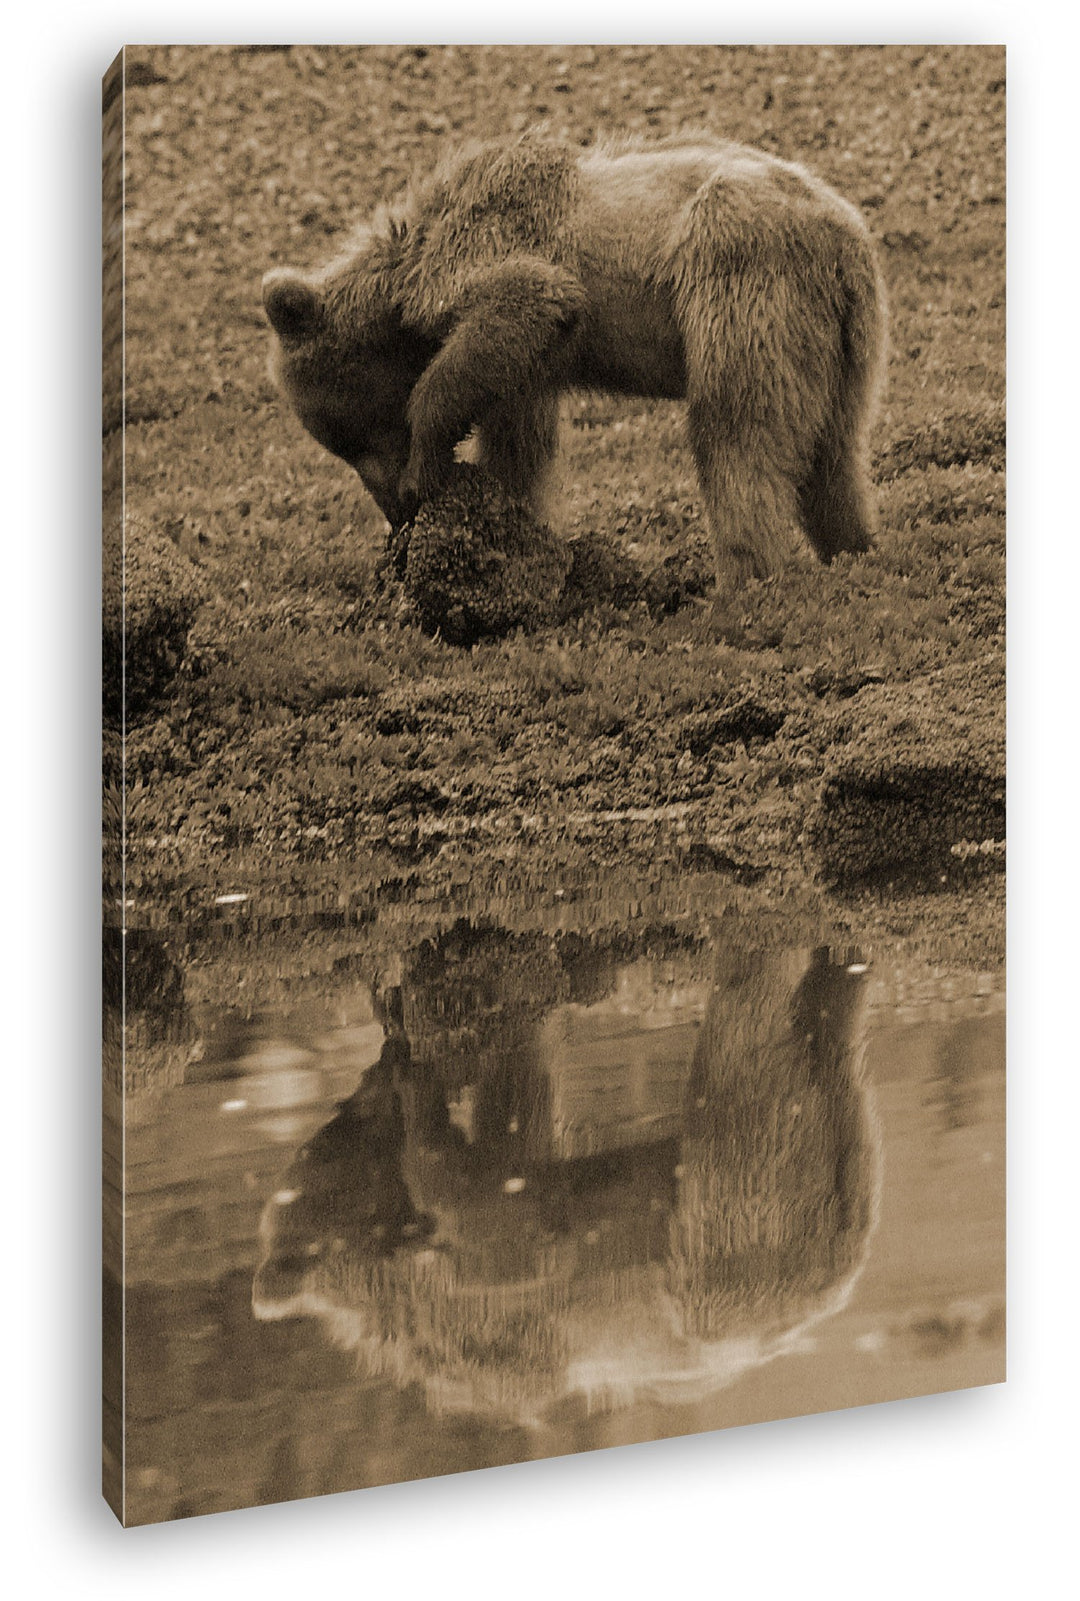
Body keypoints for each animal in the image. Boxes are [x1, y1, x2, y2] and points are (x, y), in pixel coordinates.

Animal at [263, 134, 886, 591]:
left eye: (358, 437)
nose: (395, 510)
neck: (403, 276)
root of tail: (844, 236)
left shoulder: (487, 247)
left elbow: (533, 294)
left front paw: (428, 468)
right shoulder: (531, 366)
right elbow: (519, 442)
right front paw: (514, 535)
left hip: (742, 277)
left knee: (736, 433)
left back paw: (741, 579)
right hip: (844, 341)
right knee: (833, 452)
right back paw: (852, 547)